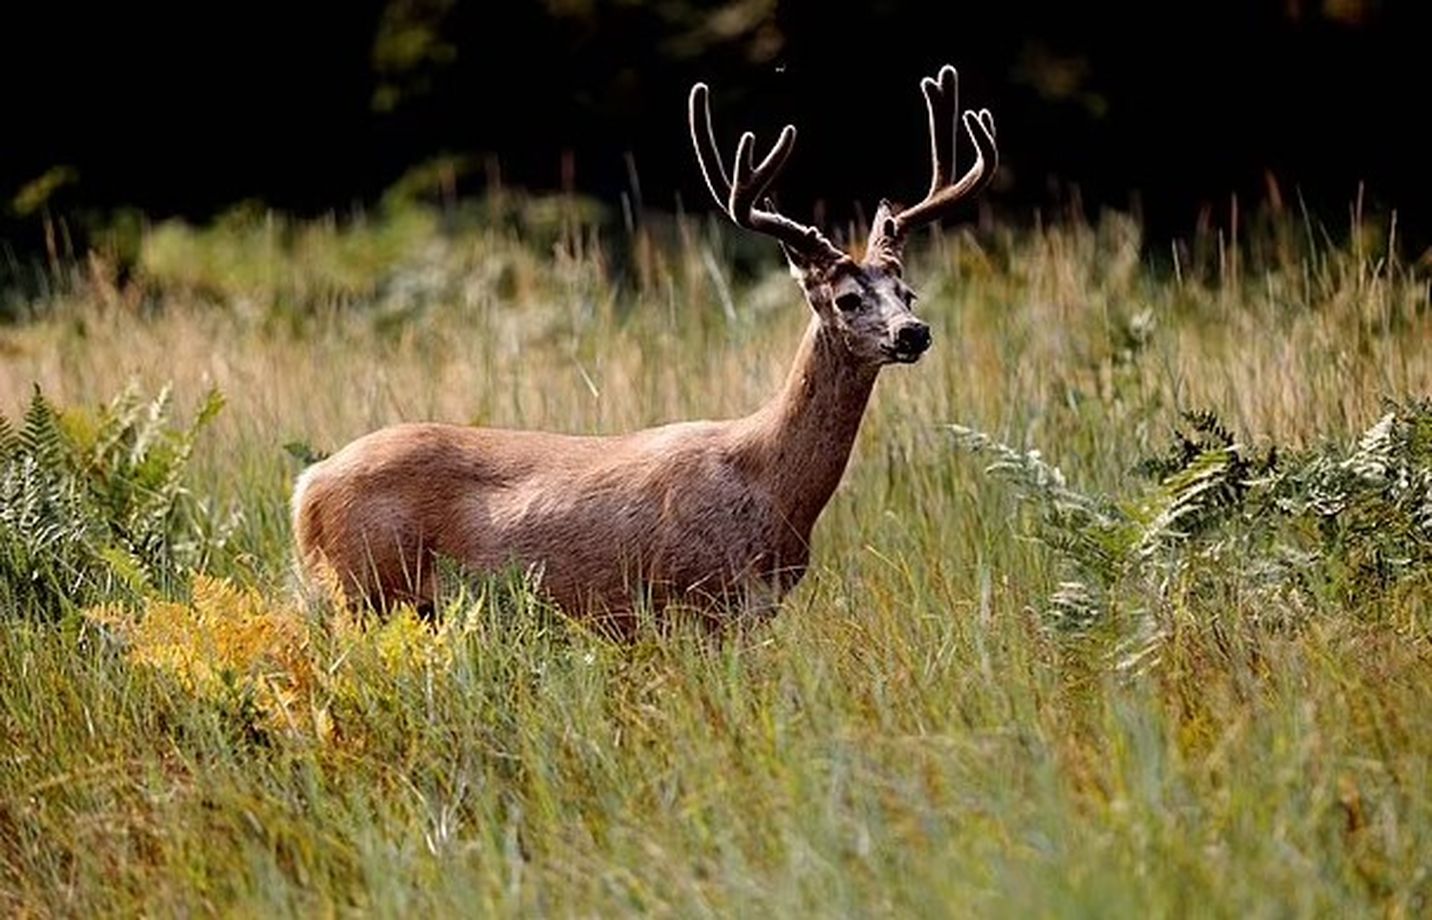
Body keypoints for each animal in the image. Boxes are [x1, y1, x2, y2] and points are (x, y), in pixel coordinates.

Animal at [293, 64, 996, 633]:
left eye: (907, 289)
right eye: (847, 298)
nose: (914, 332)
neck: (770, 484)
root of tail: (307, 488)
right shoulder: (695, 599)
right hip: (367, 588)